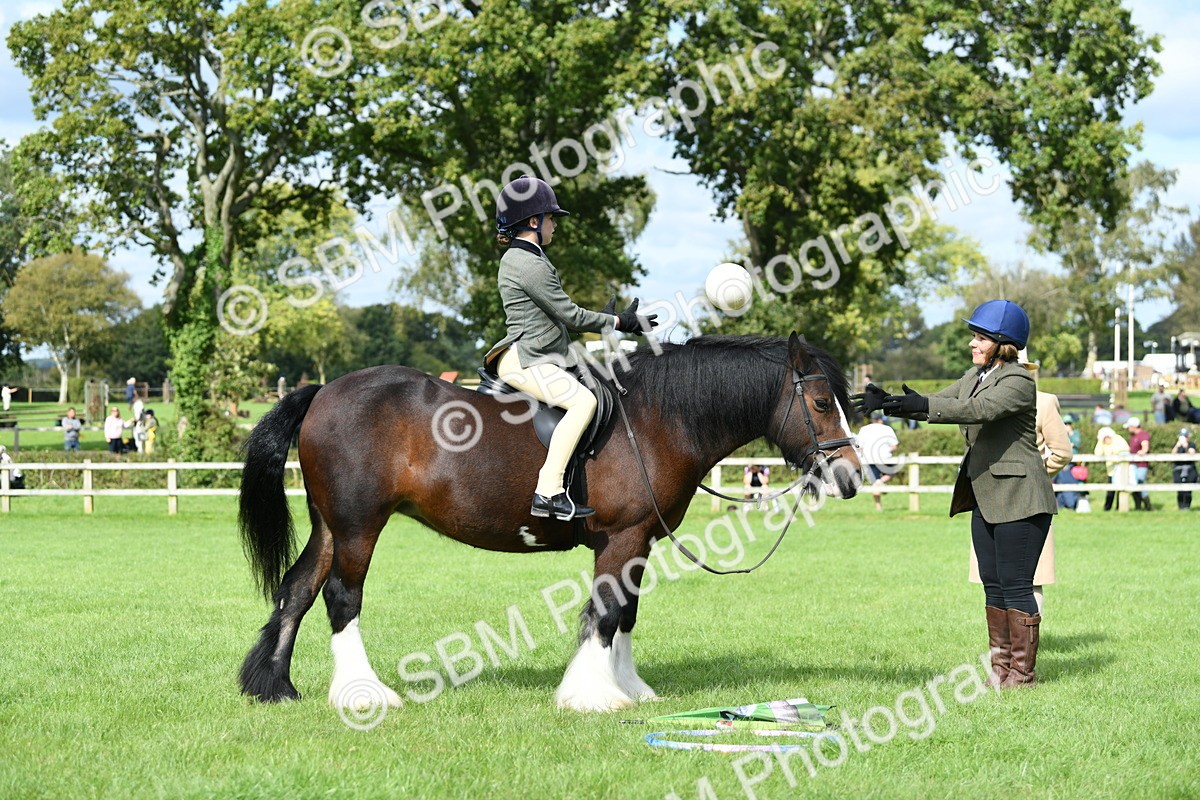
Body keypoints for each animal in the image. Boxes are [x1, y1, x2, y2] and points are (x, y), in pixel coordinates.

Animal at [238, 332, 863, 713]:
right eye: (823, 403)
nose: (853, 476)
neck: (655, 419)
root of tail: (325, 391)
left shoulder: (640, 541)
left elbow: (627, 612)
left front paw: (629, 687)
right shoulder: (621, 537)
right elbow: (605, 612)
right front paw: (591, 695)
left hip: (331, 525)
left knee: (297, 589)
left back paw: (276, 687)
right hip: (359, 527)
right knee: (341, 596)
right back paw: (363, 694)